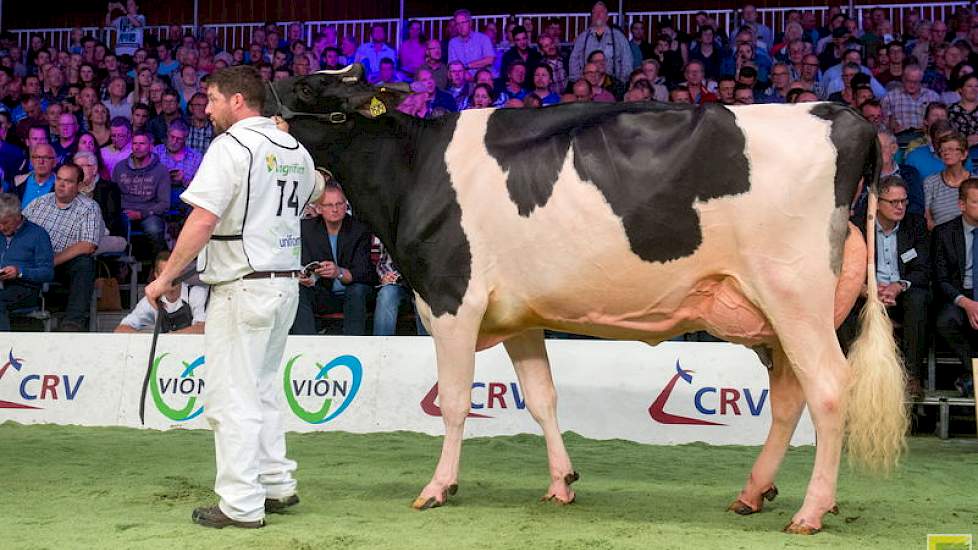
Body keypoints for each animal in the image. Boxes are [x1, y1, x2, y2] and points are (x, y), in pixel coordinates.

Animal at [264, 63, 908, 536]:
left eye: (311, 86)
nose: (259, 85)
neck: (412, 172)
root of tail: (843, 115)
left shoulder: (451, 299)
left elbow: (452, 401)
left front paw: (437, 488)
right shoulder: (519, 314)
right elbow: (542, 398)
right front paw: (561, 483)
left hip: (795, 293)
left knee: (829, 389)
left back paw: (811, 511)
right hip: (771, 313)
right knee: (789, 397)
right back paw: (752, 494)